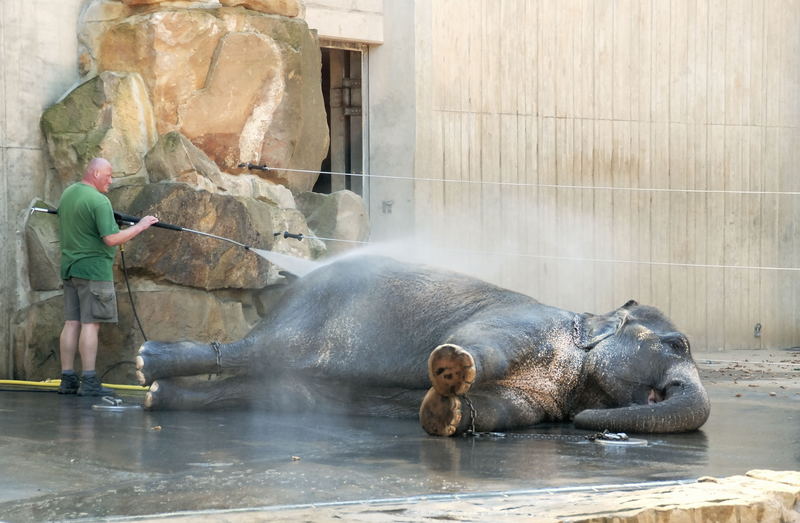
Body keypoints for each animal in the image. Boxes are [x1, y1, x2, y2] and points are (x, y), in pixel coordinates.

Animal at [138, 256, 712, 436]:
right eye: (677, 343)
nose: (582, 425)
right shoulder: (525, 321)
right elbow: (484, 347)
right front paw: (451, 366)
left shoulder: (537, 399)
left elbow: (494, 412)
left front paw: (443, 411)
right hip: (309, 323)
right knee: (261, 353)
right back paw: (147, 367)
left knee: (273, 393)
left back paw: (157, 397)